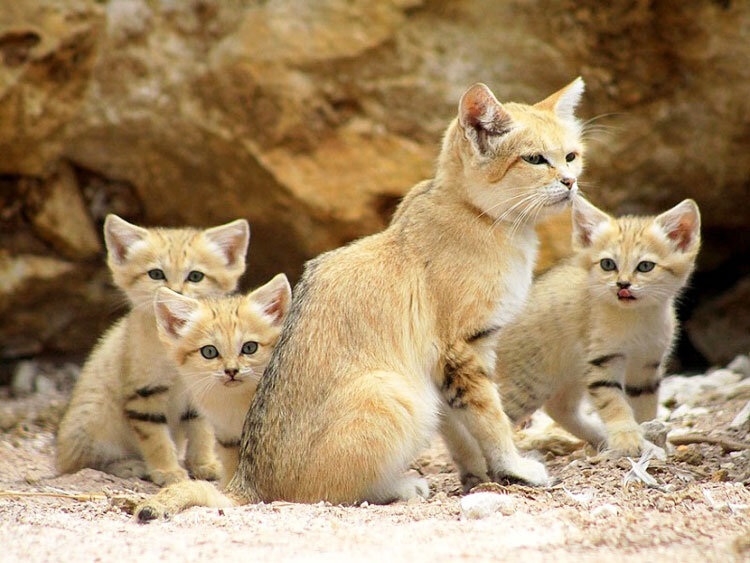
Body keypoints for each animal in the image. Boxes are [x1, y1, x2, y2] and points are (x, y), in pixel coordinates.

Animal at [56, 214, 250, 486]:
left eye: (195, 276)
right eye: (156, 274)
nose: (174, 292)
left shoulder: (198, 394)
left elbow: (201, 432)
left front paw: (204, 464)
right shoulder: (143, 393)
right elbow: (157, 440)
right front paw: (168, 471)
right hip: (94, 417)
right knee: (83, 463)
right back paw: (129, 466)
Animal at [452, 198, 704, 476]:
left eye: (645, 266)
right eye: (608, 264)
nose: (622, 284)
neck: (636, 319)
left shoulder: (646, 367)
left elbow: (645, 409)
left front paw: (648, 437)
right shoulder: (602, 363)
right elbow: (615, 405)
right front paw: (628, 440)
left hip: (568, 374)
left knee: (559, 408)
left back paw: (598, 436)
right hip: (527, 384)